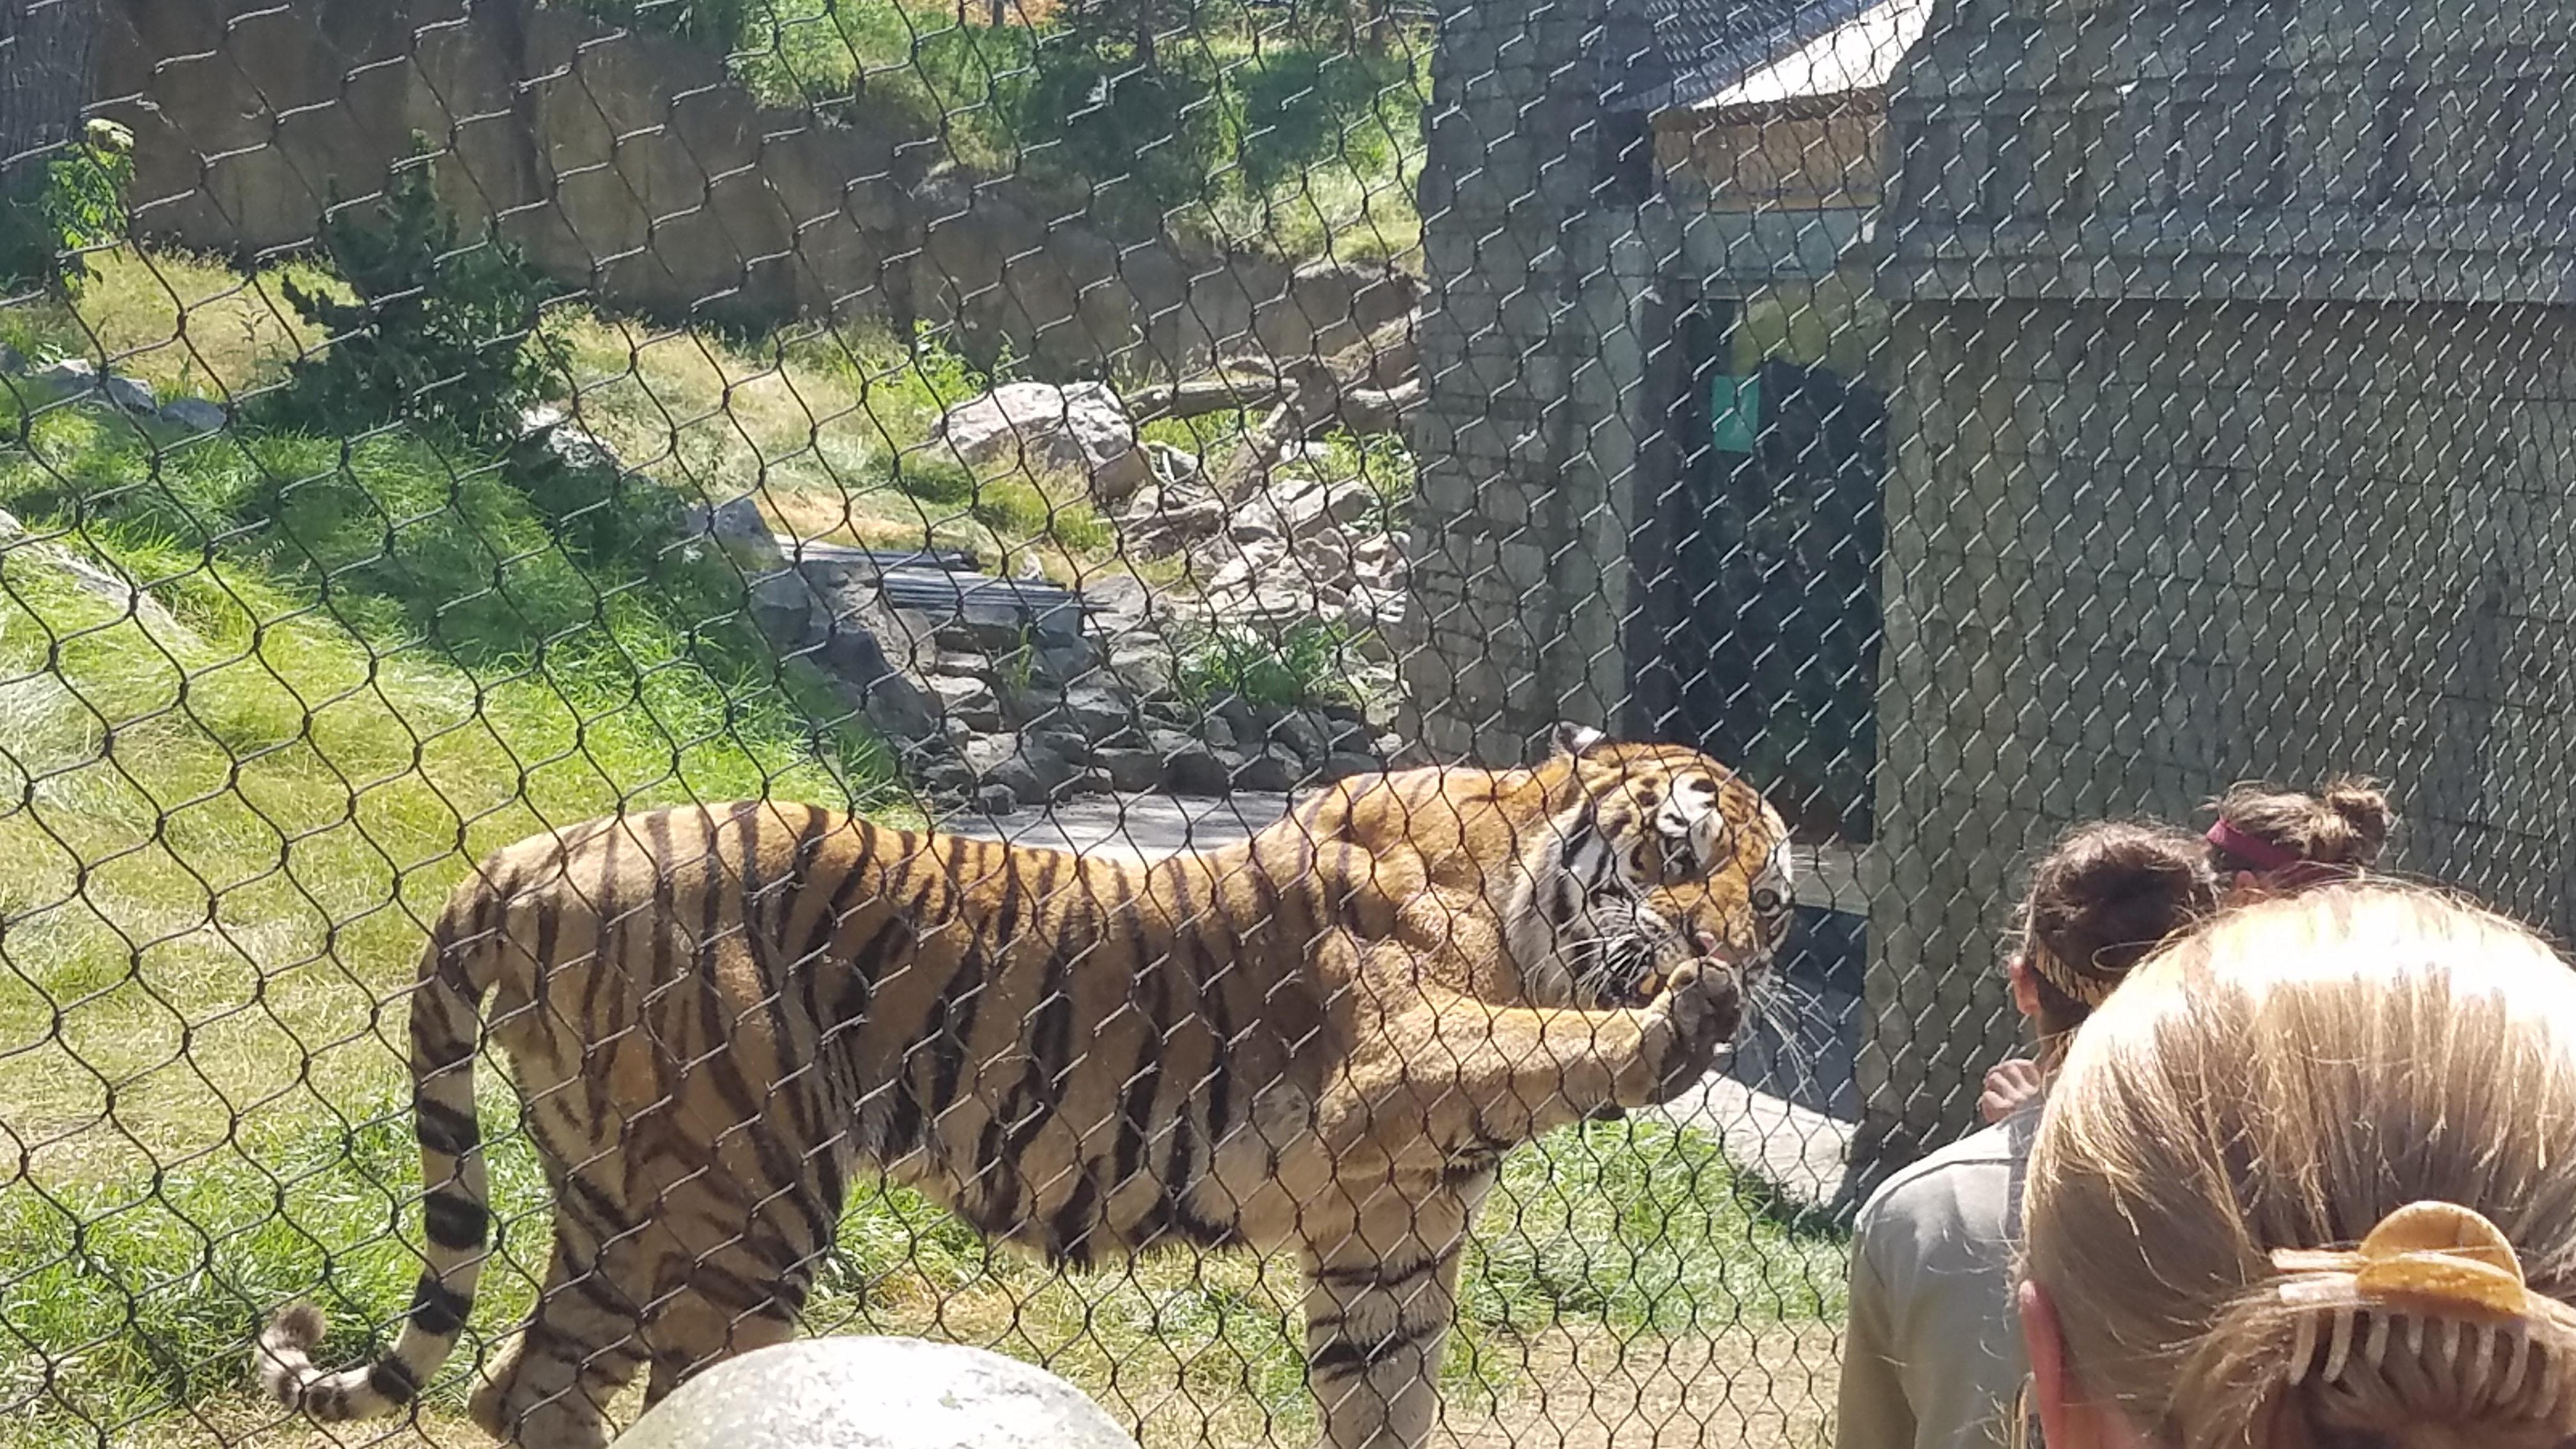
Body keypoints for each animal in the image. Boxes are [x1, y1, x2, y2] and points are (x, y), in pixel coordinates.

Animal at [254, 722, 1796, 1449]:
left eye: (1772, 901)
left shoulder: (1389, 1248)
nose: (1731, 952)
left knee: (523, 1387)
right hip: (745, 1205)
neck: (1521, 888)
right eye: (1673, 857)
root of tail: (535, 853)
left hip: (614, 1200)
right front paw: (1675, 1021)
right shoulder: (1386, 1063)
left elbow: (1387, 1404)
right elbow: (1545, 1051)